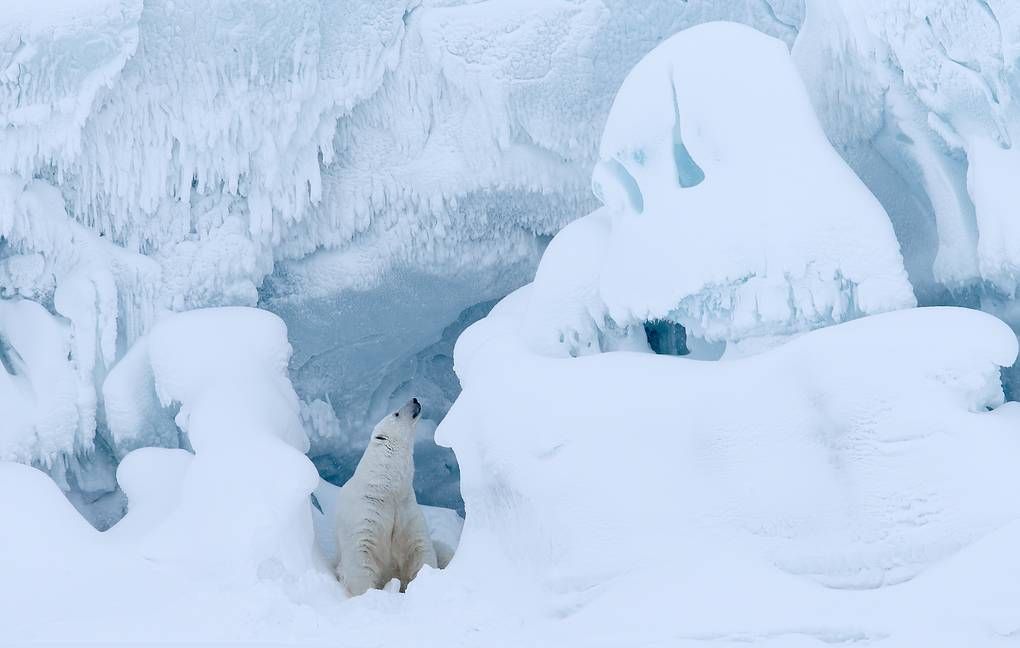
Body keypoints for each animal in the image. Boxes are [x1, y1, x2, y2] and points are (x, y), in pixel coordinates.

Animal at [330, 397, 434, 595]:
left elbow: (418, 548)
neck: (386, 488)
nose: (415, 399)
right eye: (396, 413)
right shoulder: (366, 513)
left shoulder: (406, 509)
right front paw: (367, 594)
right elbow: (360, 556)